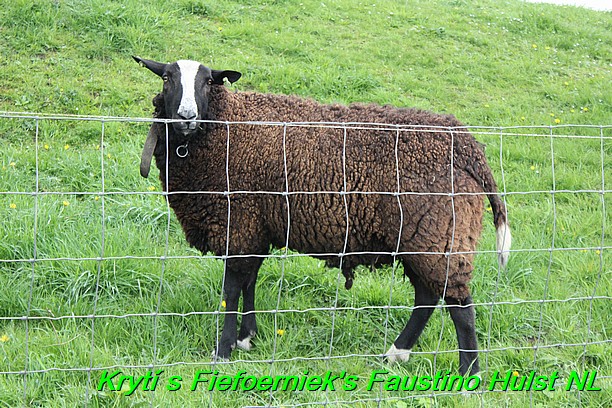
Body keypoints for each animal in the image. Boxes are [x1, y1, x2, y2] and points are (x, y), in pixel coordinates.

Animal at [135, 55, 512, 374]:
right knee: (429, 295)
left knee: (459, 306)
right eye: (167, 78)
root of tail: (469, 147)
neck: (226, 126)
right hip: (426, 235)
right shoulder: (254, 225)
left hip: (437, 232)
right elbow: (249, 282)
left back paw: (468, 375)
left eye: (208, 81)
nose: (186, 118)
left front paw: (223, 350)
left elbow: (231, 290)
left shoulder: (237, 222)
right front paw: (246, 338)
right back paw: (396, 354)